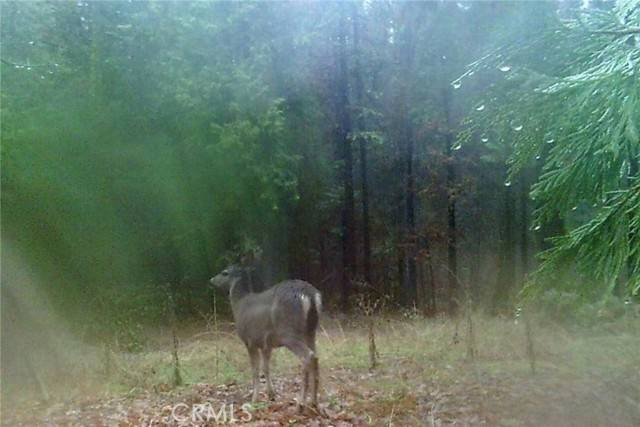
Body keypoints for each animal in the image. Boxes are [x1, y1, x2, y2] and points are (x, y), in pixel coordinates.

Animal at [209, 264, 320, 412]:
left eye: (224, 272)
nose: (212, 279)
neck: (239, 306)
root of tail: (310, 295)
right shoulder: (266, 344)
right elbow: (266, 367)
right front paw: (271, 394)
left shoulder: (249, 341)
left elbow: (255, 370)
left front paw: (254, 399)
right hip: (310, 331)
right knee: (316, 356)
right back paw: (314, 402)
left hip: (288, 332)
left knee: (307, 355)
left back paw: (301, 404)